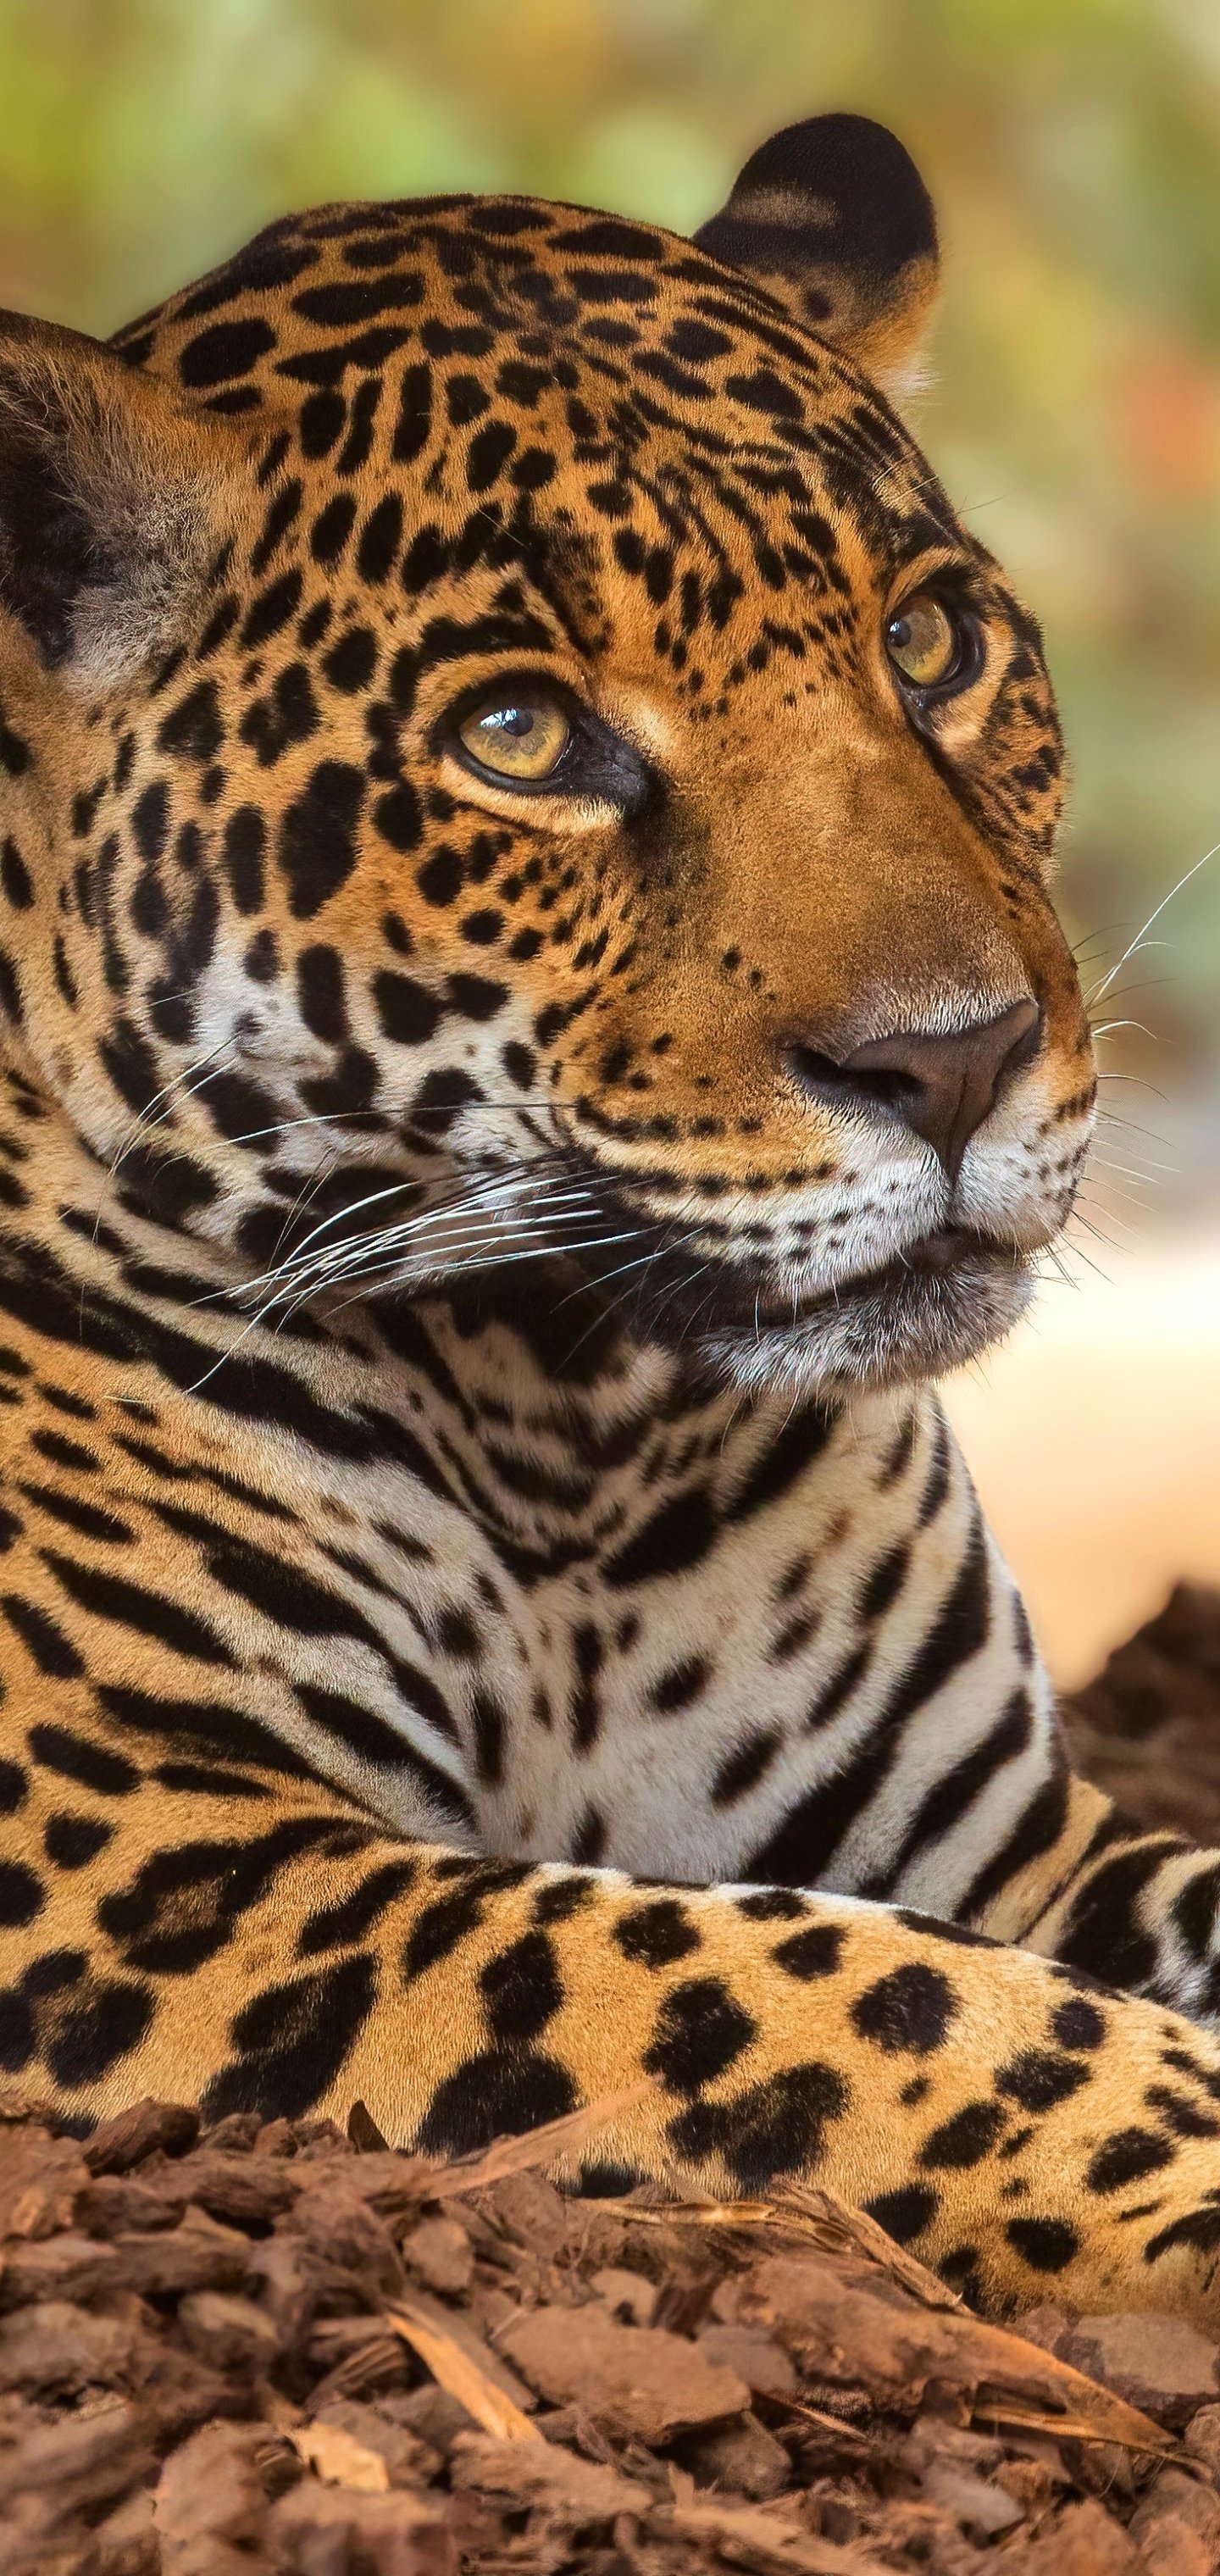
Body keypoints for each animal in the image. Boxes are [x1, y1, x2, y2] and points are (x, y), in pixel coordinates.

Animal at [0, 106, 1217, 2327]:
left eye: (927, 640)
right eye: (520, 739)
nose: (957, 1058)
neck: (571, 1422)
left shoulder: (1003, 1844)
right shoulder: (146, 1863)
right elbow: (817, 1989)